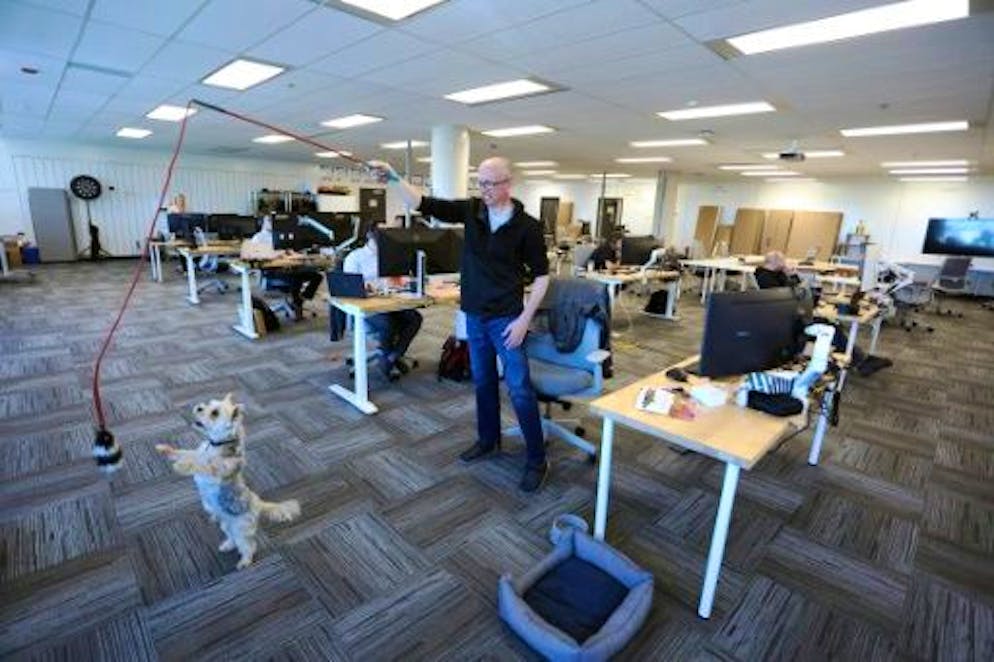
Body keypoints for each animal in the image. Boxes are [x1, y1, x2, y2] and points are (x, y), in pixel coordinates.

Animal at [155, 393, 300, 569]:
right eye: (208, 404)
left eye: (215, 413)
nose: (199, 407)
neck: (215, 445)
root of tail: (257, 503)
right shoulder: (198, 452)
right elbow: (185, 453)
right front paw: (165, 450)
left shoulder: (218, 467)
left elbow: (201, 464)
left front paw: (181, 466)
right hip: (227, 525)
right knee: (232, 538)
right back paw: (227, 545)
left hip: (241, 529)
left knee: (248, 545)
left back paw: (245, 561)